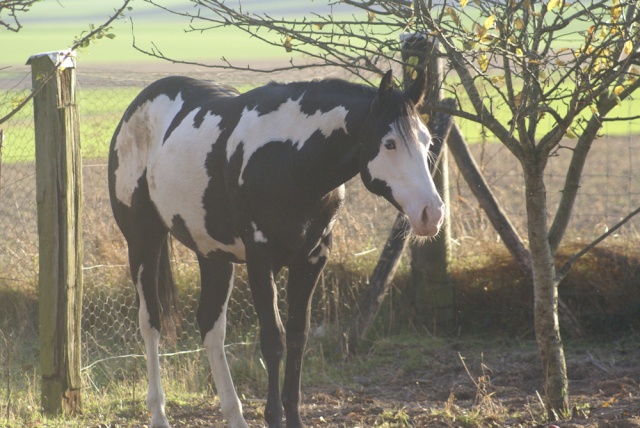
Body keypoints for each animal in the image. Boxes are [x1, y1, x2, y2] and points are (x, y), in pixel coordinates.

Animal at [107, 71, 442, 428]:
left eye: (427, 141)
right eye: (389, 142)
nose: (431, 213)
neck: (290, 159)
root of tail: (136, 107)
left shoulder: (311, 260)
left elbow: (297, 337)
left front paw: (292, 417)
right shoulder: (260, 259)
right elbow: (273, 340)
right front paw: (273, 416)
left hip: (213, 255)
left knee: (211, 327)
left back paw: (234, 415)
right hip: (143, 242)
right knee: (151, 322)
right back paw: (158, 413)